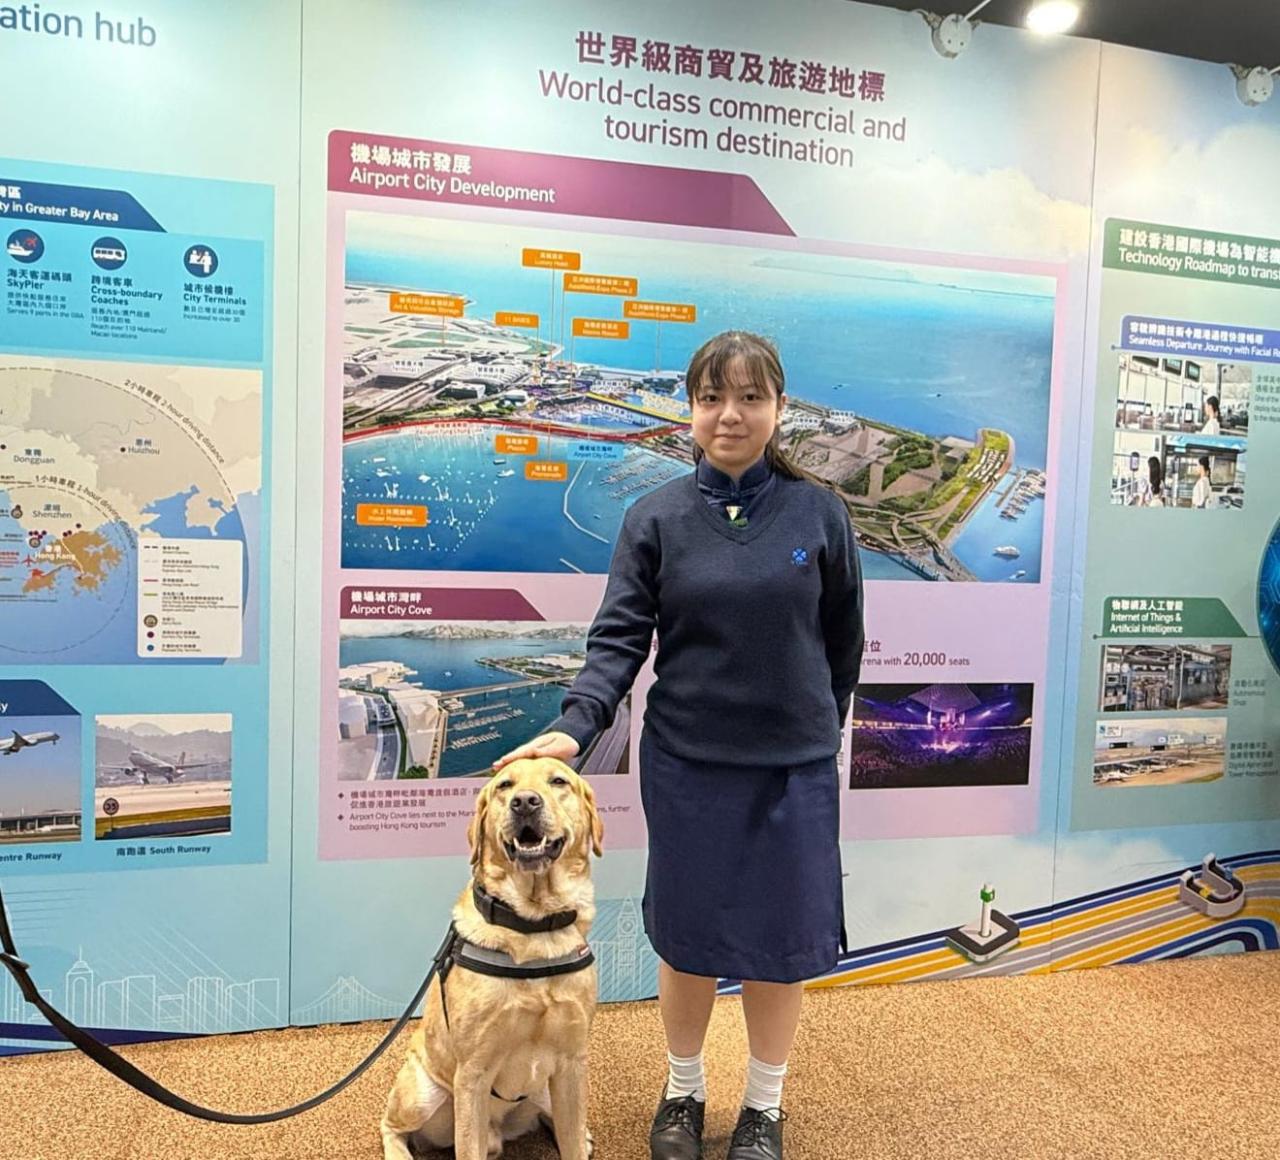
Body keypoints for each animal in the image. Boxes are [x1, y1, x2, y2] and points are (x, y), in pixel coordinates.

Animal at [380, 758, 604, 1160]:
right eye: (504, 786)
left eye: (558, 781)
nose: (525, 802)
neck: (534, 925)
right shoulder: (474, 1072)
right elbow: (467, 1146)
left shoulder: (572, 1063)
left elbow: (573, 1143)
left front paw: (579, 1139)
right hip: (423, 1093)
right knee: (391, 1126)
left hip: (546, 1089)